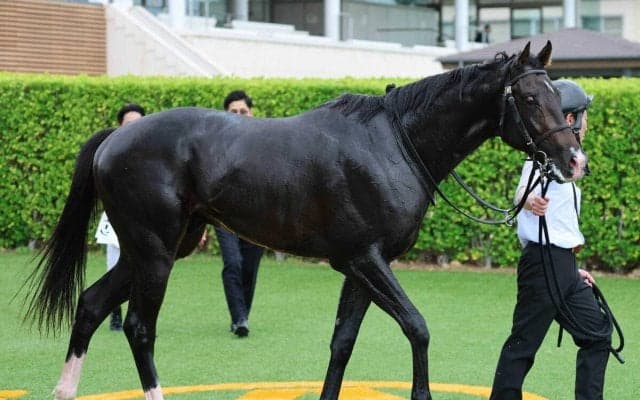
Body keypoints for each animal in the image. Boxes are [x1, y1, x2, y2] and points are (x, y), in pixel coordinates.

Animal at [26, 41, 587, 400]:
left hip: (155, 250)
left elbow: (342, 343)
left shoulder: (359, 268)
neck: (394, 142)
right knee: (139, 328)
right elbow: (417, 328)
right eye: (530, 98)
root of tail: (116, 138)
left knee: (91, 304)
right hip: (155, 251)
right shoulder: (365, 260)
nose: (574, 162)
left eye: (558, 98)